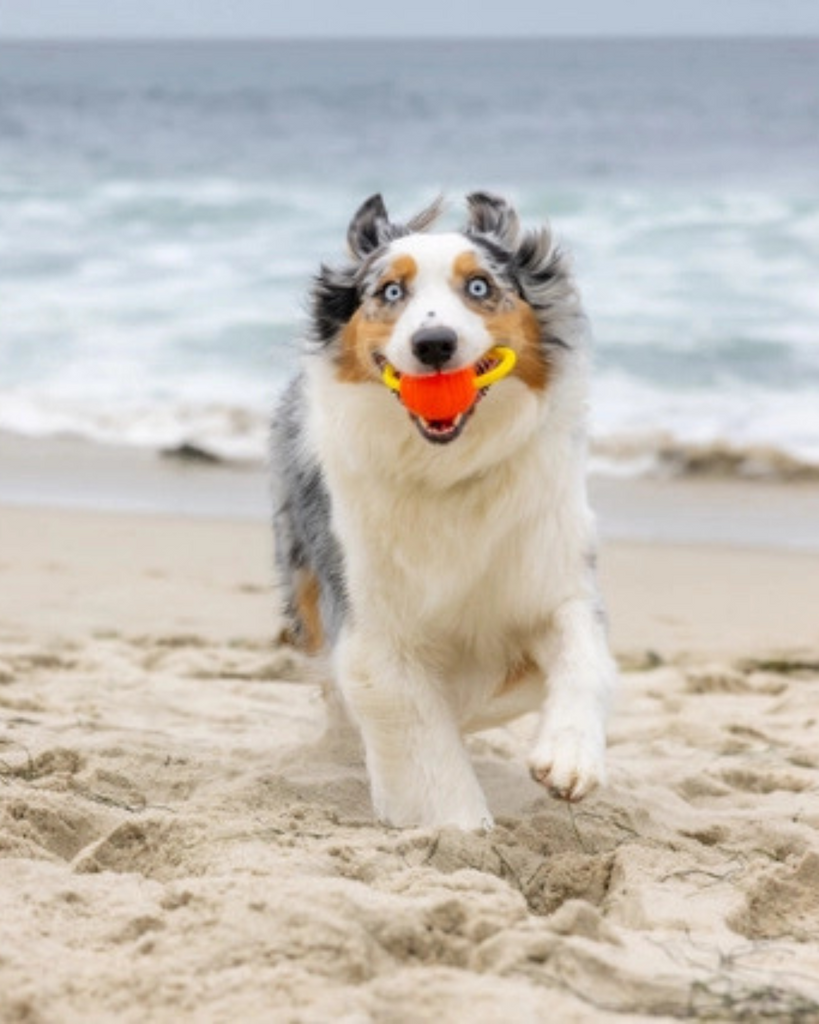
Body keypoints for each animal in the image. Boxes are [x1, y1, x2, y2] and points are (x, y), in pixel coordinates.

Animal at [272, 193, 618, 831]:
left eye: (479, 286)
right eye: (390, 291)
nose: (434, 343)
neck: (448, 470)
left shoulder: (552, 575)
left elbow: (583, 653)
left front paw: (569, 758)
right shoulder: (372, 626)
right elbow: (420, 732)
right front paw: (457, 828)